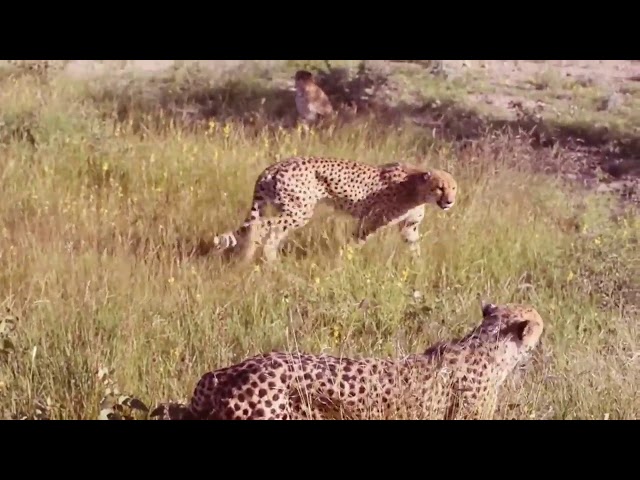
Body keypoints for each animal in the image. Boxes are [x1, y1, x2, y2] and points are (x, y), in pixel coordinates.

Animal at [212, 156, 458, 263]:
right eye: (440, 187)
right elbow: (357, 241)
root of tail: (275, 165)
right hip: (299, 211)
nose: (449, 201)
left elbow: (414, 247)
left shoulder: (409, 227)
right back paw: (252, 260)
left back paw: (271, 262)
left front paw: (419, 268)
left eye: (454, 188)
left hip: (290, 210)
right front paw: (342, 262)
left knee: (272, 233)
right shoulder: (372, 220)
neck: (417, 188)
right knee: (259, 226)